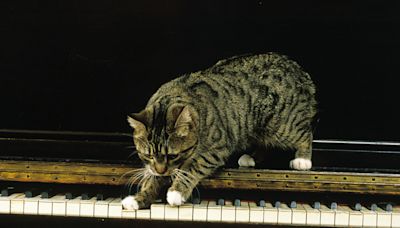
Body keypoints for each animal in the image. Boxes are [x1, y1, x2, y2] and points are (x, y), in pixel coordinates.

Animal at [121, 52, 316, 209]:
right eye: (148, 155)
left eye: (173, 155)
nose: (161, 170)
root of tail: (298, 70)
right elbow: (151, 180)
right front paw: (138, 199)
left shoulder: (216, 149)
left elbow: (192, 167)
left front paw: (176, 192)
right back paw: (251, 157)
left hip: (280, 125)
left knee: (305, 134)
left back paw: (302, 160)